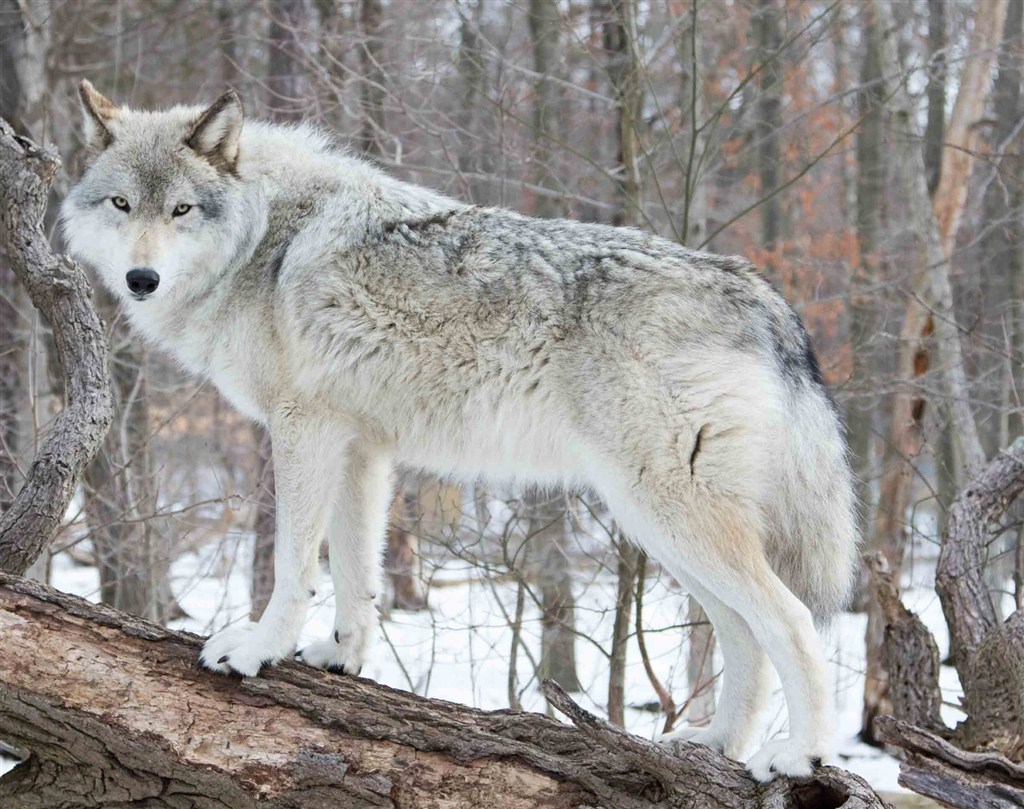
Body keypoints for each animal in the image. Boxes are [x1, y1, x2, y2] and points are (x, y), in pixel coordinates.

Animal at [64, 80, 860, 778]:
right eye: (122, 203)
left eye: (182, 209)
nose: (140, 280)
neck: (264, 239)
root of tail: (765, 297)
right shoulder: (360, 446)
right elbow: (357, 572)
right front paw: (343, 657)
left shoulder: (303, 429)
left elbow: (294, 567)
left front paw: (260, 649)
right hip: (659, 527)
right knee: (743, 635)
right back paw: (713, 744)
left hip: (666, 515)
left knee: (792, 623)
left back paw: (800, 756)